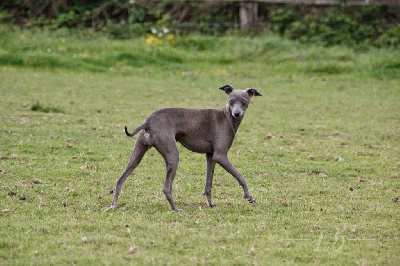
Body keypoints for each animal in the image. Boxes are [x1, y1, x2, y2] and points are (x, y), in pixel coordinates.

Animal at [111, 85, 262, 212]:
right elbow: (240, 177)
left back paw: (113, 205)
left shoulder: (211, 156)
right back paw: (175, 209)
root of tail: (148, 122)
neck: (226, 118)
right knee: (166, 188)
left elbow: (208, 184)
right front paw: (249, 196)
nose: (236, 113)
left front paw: (210, 203)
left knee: (120, 179)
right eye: (231, 101)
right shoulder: (221, 156)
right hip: (173, 156)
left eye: (244, 101)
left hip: (137, 155)